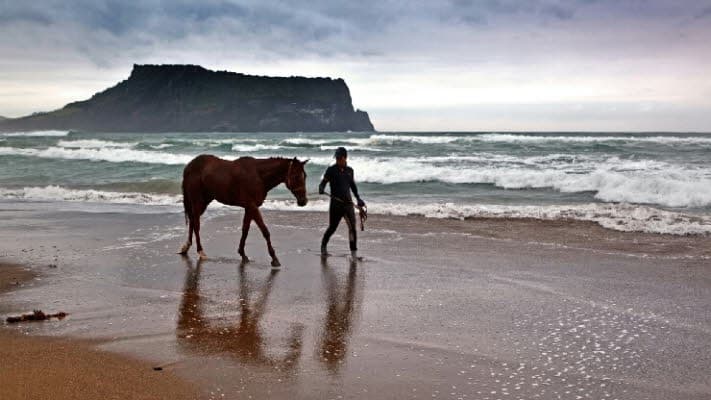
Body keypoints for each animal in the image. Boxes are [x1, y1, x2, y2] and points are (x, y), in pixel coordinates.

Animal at [178, 155, 308, 266]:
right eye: (296, 176)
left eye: (305, 176)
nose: (303, 201)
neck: (258, 175)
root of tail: (189, 167)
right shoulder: (252, 206)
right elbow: (265, 231)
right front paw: (274, 258)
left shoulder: (249, 208)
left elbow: (245, 230)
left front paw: (242, 254)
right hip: (197, 201)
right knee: (196, 224)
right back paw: (200, 251)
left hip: (205, 201)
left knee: (192, 221)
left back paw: (186, 247)